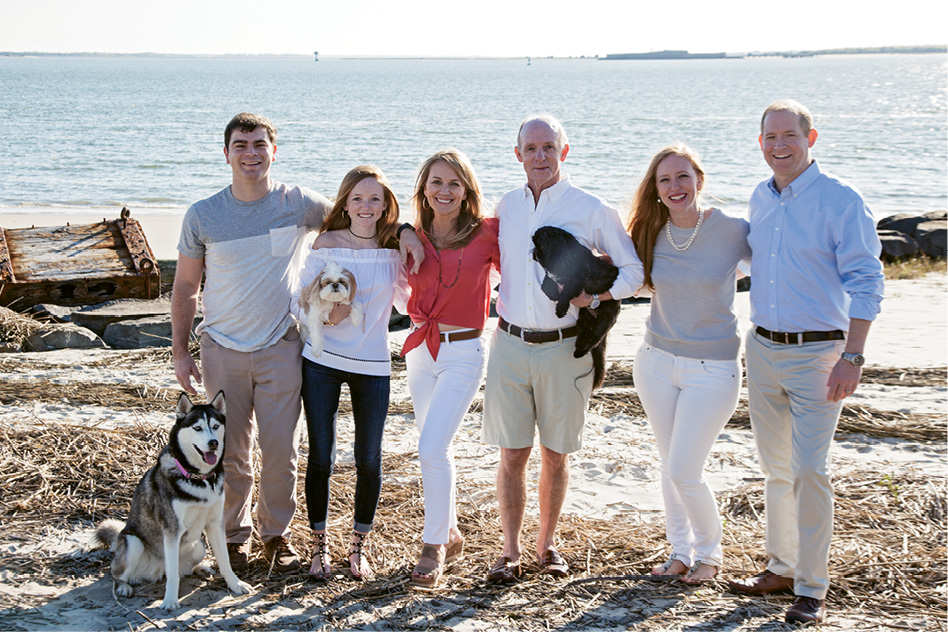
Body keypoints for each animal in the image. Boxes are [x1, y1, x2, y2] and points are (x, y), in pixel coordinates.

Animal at [95, 392, 252, 608]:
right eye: (197, 428)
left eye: (215, 426)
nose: (213, 443)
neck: (199, 478)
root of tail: (156, 570)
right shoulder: (171, 530)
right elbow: (172, 575)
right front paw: (170, 600)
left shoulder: (214, 523)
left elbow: (225, 560)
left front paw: (235, 584)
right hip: (133, 543)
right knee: (119, 574)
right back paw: (124, 587)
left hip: (199, 546)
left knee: (181, 569)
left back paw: (200, 568)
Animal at [528, 225, 624, 388]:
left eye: (538, 244)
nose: (533, 252)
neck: (562, 252)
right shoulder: (552, 276)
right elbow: (546, 284)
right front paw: (553, 294)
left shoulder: (576, 280)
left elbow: (566, 293)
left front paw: (560, 309)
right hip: (584, 319)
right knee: (584, 335)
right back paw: (578, 348)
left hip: (603, 323)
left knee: (593, 339)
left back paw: (580, 352)